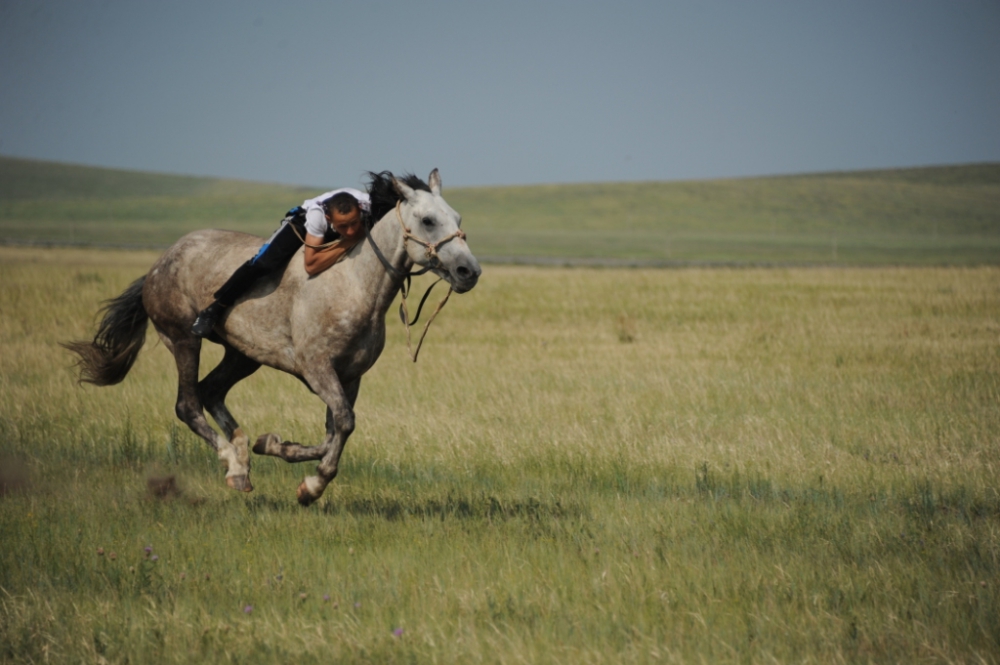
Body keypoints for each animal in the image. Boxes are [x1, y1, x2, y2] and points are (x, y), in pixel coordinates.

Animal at [65, 170, 480, 504]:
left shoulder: (349, 376)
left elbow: (335, 430)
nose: (469, 271)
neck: (355, 286)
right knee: (187, 404)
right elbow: (343, 425)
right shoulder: (317, 369)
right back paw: (233, 467)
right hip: (183, 340)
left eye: (457, 218)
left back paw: (244, 455)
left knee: (210, 391)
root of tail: (159, 263)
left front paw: (276, 446)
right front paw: (311, 488)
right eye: (427, 220)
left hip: (242, 355)